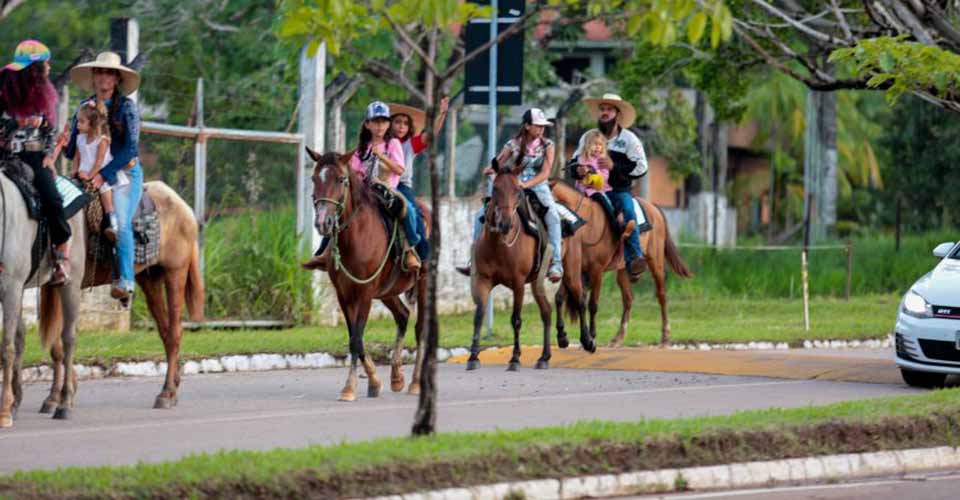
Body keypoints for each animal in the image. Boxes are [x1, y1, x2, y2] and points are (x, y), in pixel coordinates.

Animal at [0, 165, 86, 430]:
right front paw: (10, 405)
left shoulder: (11, 285)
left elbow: (6, 348)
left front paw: (3, 413)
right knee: (21, 338)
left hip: (71, 285)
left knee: (68, 338)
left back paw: (64, 404)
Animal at [39, 182, 204, 412]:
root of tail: (184, 207)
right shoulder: (49, 286)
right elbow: (56, 347)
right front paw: (55, 397)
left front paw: (62, 396)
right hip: (150, 279)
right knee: (165, 331)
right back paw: (173, 388)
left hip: (175, 273)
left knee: (174, 333)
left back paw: (166, 393)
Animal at [306, 148, 430, 402]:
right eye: (314, 179)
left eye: (341, 180)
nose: (323, 222)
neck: (355, 237)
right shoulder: (344, 294)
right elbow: (356, 337)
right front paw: (374, 381)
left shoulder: (364, 292)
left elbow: (356, 338)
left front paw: (349, 388)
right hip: (387, 291)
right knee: (402, 316)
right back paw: (397, 377)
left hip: (422, 281)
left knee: (420, 328)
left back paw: (415, 383)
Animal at [464, 167, 592, 372]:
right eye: (495, 188)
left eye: (518, 190)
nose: (505, 223)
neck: (499, 244)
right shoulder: (482, 280)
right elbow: (479, 315)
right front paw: (473, 357)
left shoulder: (517, 283)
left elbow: (516, 319)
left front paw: (515, 359)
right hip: (536, 282)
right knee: (546, 312)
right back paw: (545, 356)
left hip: (571, 272)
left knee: (580, 300)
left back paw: (587, 341)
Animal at [548, 181, 688, 348]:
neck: (586, 224)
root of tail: (653, 207)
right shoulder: (572, 269)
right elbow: (559, 298)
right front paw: (562, 337)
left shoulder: (596, 270)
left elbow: (592, 304)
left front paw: (591, 337)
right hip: (622, 270)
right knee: (628, 299)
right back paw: (618, 338)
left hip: (656, 260)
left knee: (661, 295)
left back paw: (665, 337)